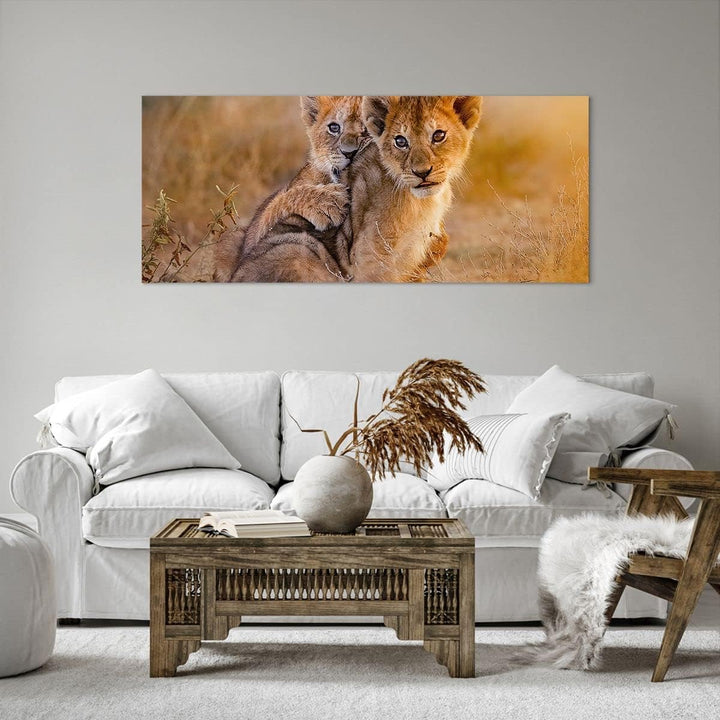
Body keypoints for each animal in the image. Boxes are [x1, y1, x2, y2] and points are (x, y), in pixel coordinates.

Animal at [215, 96, 370, 282]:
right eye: (334, 127)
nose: (350, 152)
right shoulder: (258, 231)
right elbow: (282, 200)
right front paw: (327, 203)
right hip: (231, 238)